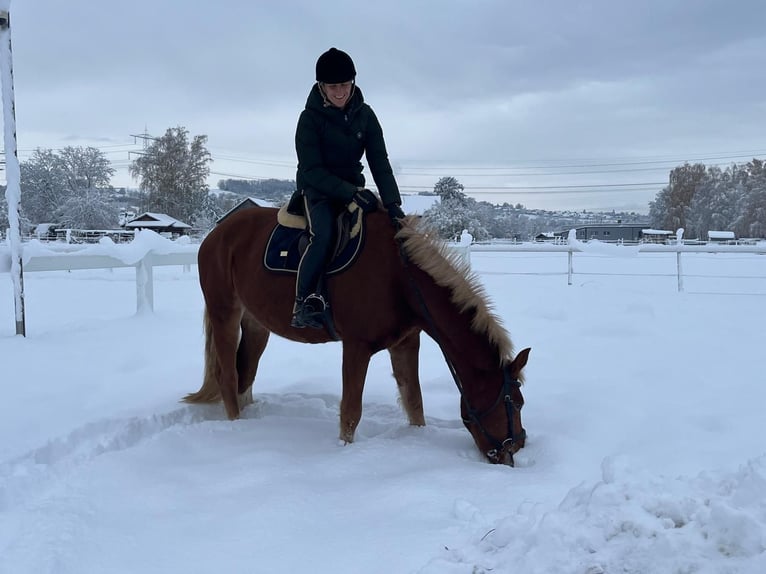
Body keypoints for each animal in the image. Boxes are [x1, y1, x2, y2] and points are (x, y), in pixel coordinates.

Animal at [189, 208, 532, 468]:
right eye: (514, 403)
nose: (515, 448)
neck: (399, 279)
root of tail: (216, 235)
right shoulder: (356, 348)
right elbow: (351, 413)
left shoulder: (405, 344)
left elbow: (415, 403)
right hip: (225, 314)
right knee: (228, 376)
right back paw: (236, 429)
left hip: (256, 324)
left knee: (246, 374)